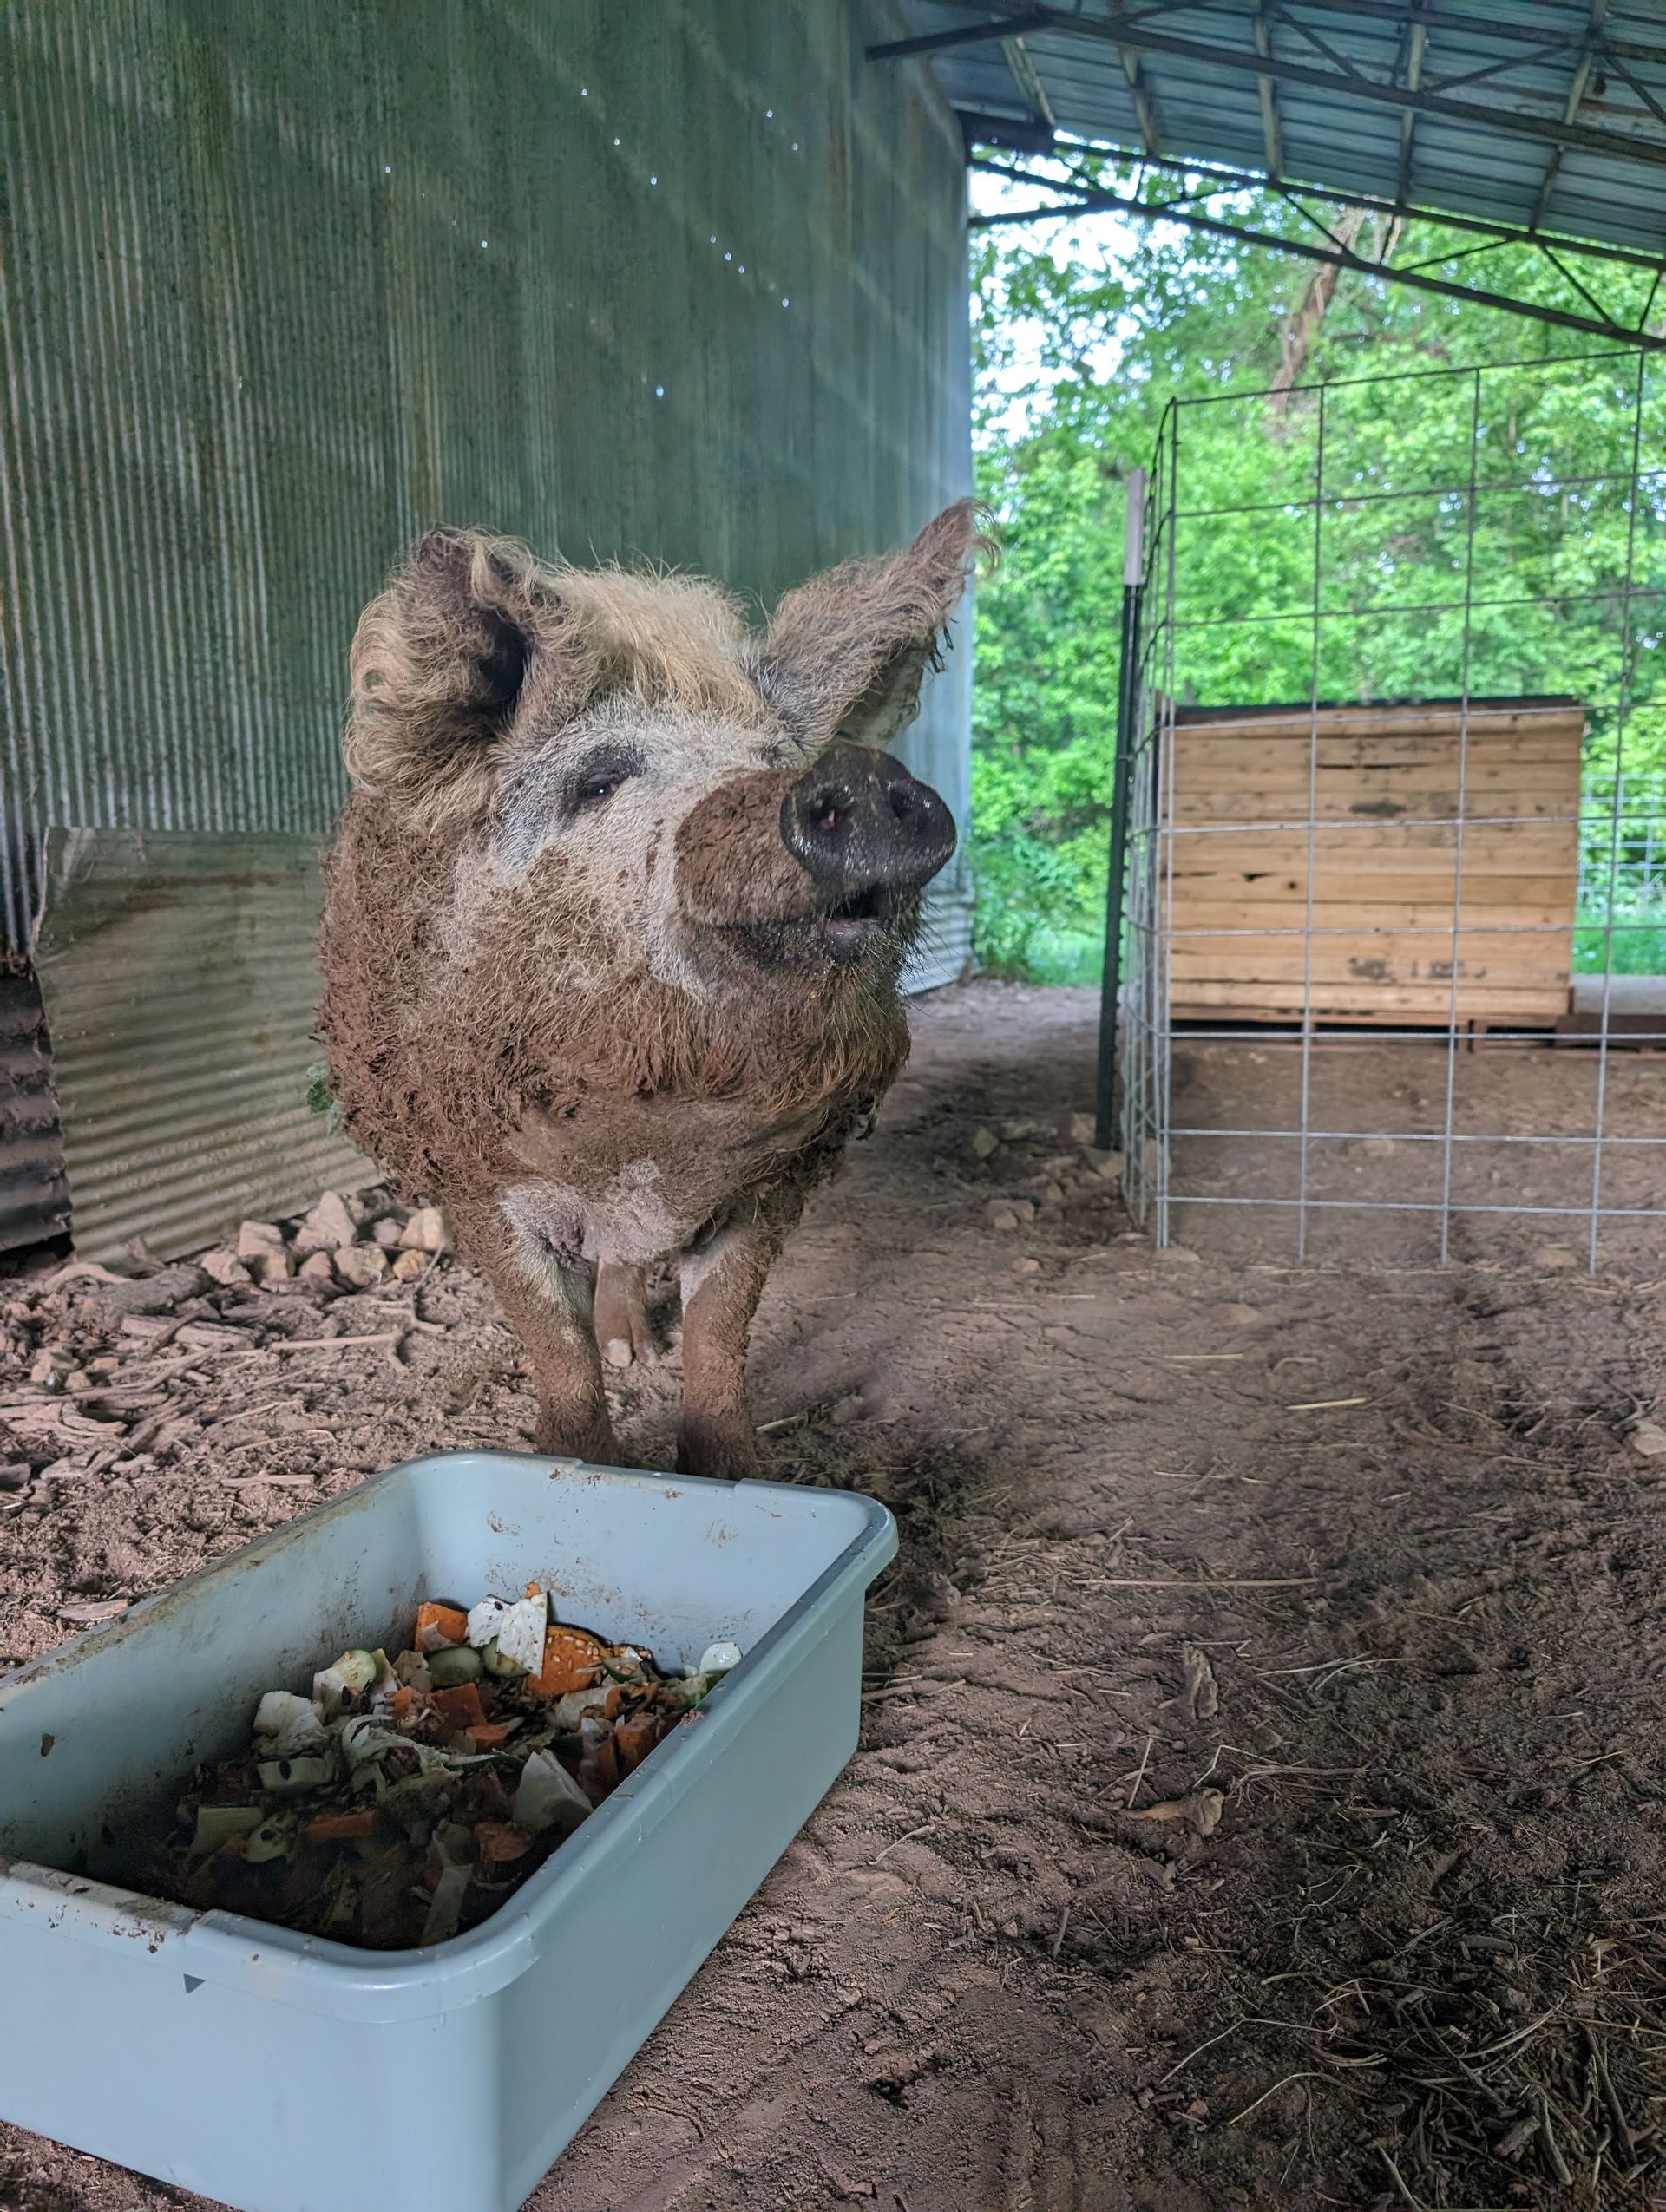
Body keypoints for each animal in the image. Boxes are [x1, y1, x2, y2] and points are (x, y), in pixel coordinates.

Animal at [317, 502, 985, 1478]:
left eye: (773, 756)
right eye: (598, 781)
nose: (865, 777)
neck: (652, 1143)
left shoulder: (777, 1181)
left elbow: (720, 1330)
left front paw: (729, 1473)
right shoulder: (477, 1176)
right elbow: (552, 1344)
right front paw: (576, 1464)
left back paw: (636, 1346)